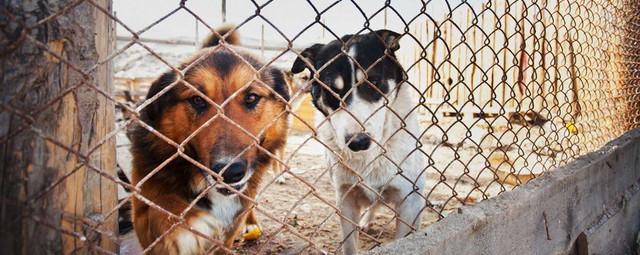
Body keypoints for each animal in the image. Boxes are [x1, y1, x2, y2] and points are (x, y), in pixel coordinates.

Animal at [130, 25, 290, 253]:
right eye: (197, 100)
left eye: (251, 97)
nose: (230, 172)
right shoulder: (141, 211)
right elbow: (161, 204)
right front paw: (184, 224)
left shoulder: (228, 235)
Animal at [292, 29, 424, 253]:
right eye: (331, 90)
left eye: (374, 82)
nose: (358, 143)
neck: (369, 157)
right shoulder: (346, 199)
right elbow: (349, 245)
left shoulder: (409, 200)